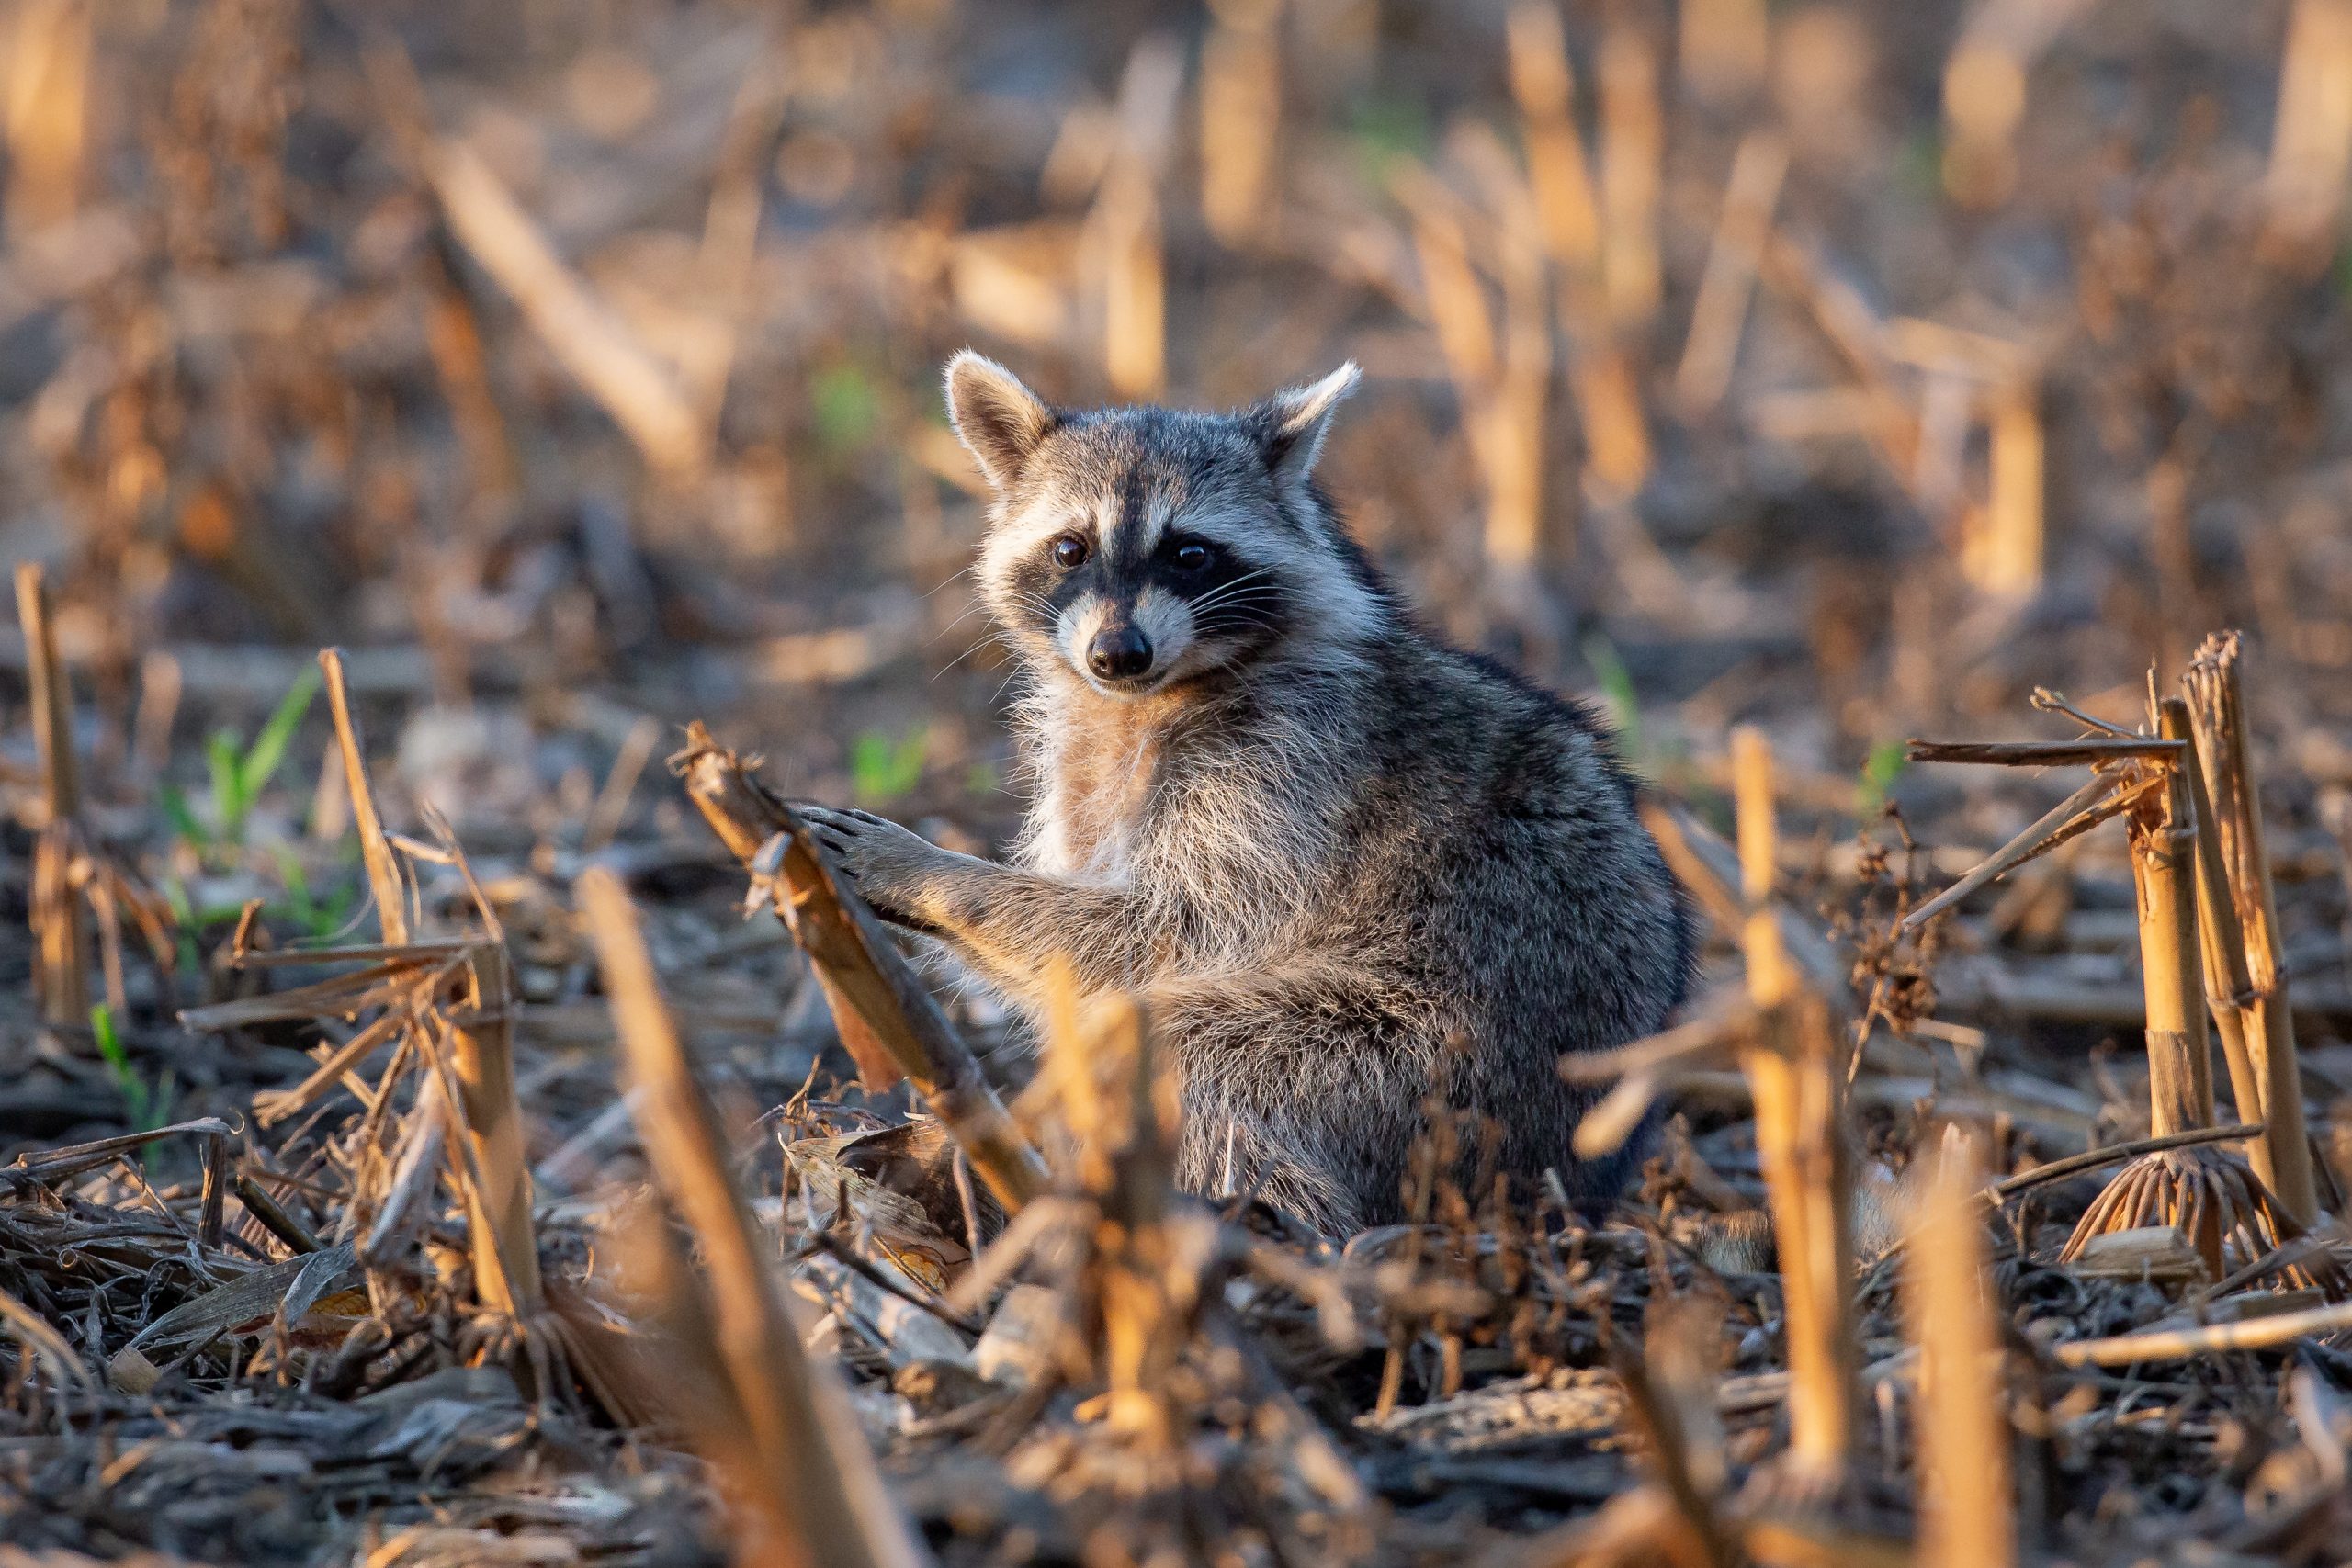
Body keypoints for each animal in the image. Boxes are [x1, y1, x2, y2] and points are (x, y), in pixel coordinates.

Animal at [799, 359, 1702, 1241]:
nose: (1116, 653)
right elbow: (1085, 947)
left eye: (1190, 553)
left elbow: (1163, 933)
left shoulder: (1291, 768)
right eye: (1069, 548)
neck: (1146, 700)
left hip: (1422, 1065)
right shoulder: (1088, 770)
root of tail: (1570, 1185)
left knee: (1186, 1049)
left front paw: (932, 873)